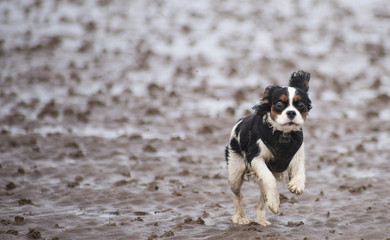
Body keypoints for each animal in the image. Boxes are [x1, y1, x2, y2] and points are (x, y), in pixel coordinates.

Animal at [224, 70, 312, 226]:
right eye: (279, 104)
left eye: (301, 104)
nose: (291, 112)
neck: (282, 135)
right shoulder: (255, 158)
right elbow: (269, 179)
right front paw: (275, 202)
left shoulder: (297, 155)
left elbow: (300, 169)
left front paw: (297, 185)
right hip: (235, 173)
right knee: (238, 195)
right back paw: (240, 218)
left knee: (260, 199)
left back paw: (261, 220)